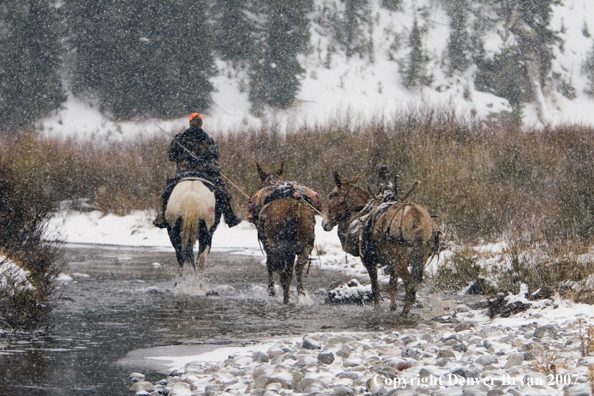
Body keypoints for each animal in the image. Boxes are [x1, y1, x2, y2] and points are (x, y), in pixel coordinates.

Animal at [247, 162, 316, 304]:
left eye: (258, 185)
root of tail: (293, 208)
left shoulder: (268, 244)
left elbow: (269, 265)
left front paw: (271, 290)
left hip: (278, 245)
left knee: (283, 273)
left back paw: (285, 298)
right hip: (304, 245)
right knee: (297, 268)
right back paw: (301, 295)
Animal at [320, 173, 440, 316]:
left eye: (332, 195)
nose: (324, 223)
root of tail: (417, 219)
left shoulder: (369, 260)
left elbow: (375, 287)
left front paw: (377, 308)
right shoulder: (393, 262)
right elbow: (391, 285)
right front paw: (392, 306)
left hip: (401, 259)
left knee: (409, 282)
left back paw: (405, 312)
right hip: (419, 258)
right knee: (413, 283)